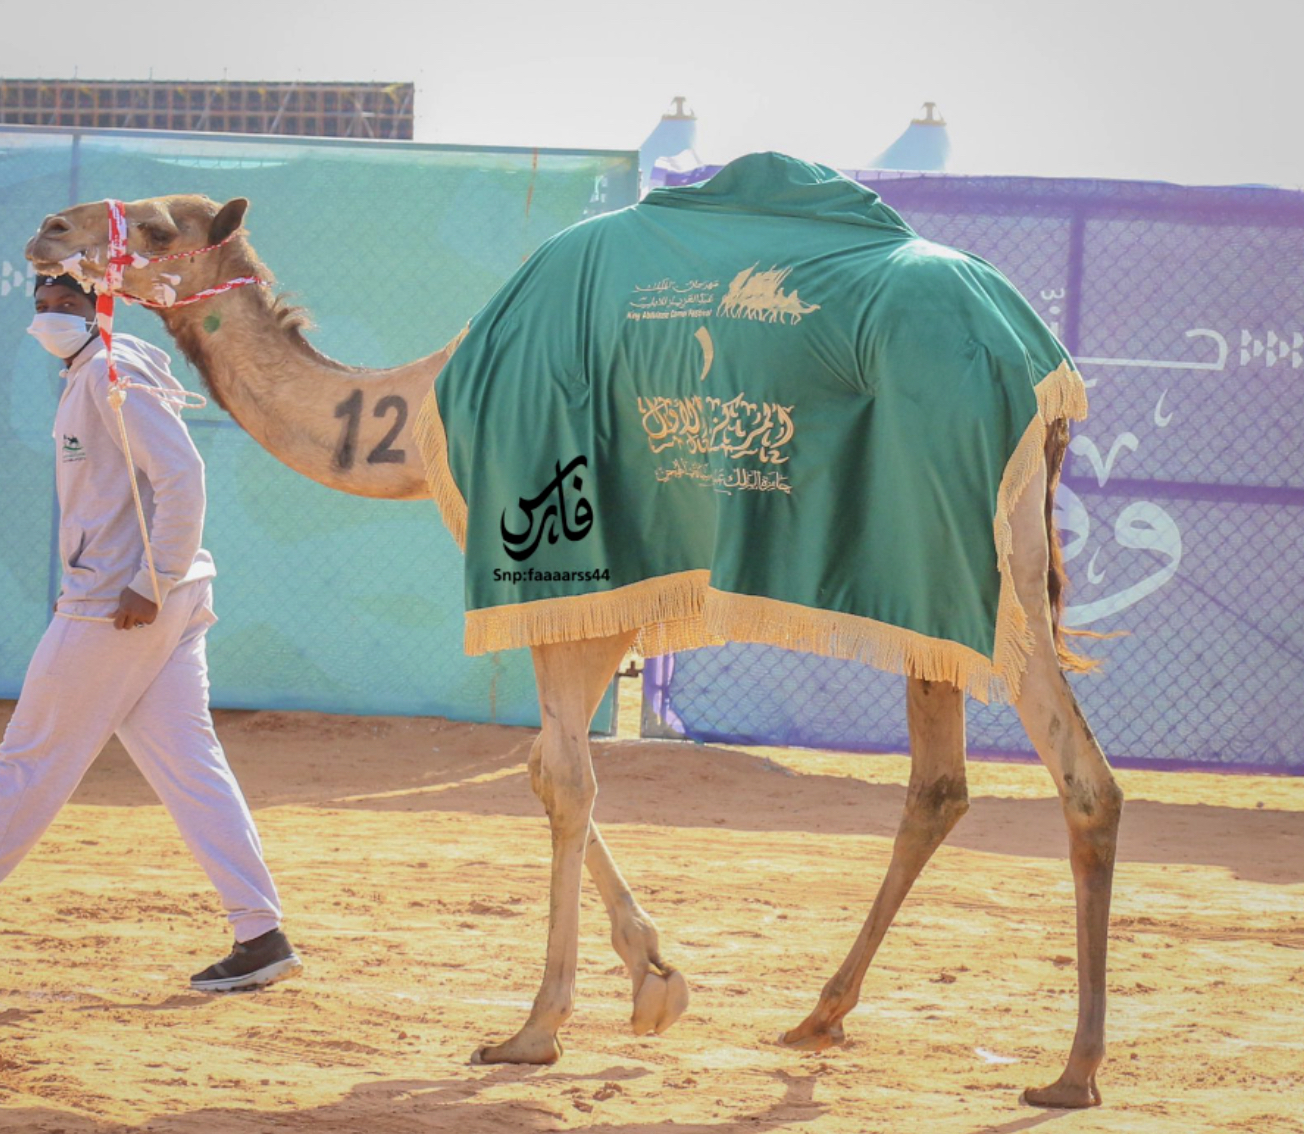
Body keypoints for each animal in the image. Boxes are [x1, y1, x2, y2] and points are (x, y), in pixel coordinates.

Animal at [25, 183, 1126, 1110]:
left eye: (154, 227)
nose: (45, 228)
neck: (424, 406)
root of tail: (1042, 365)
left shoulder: (567, 565)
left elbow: (561, 774)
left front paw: (538, 1028)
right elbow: (552, 767)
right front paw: (656, 981)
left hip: (980, 556)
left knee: (1083, 779)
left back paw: (1073, 1071)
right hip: (925, 582)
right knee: (938, 784)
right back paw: (820, 1016)